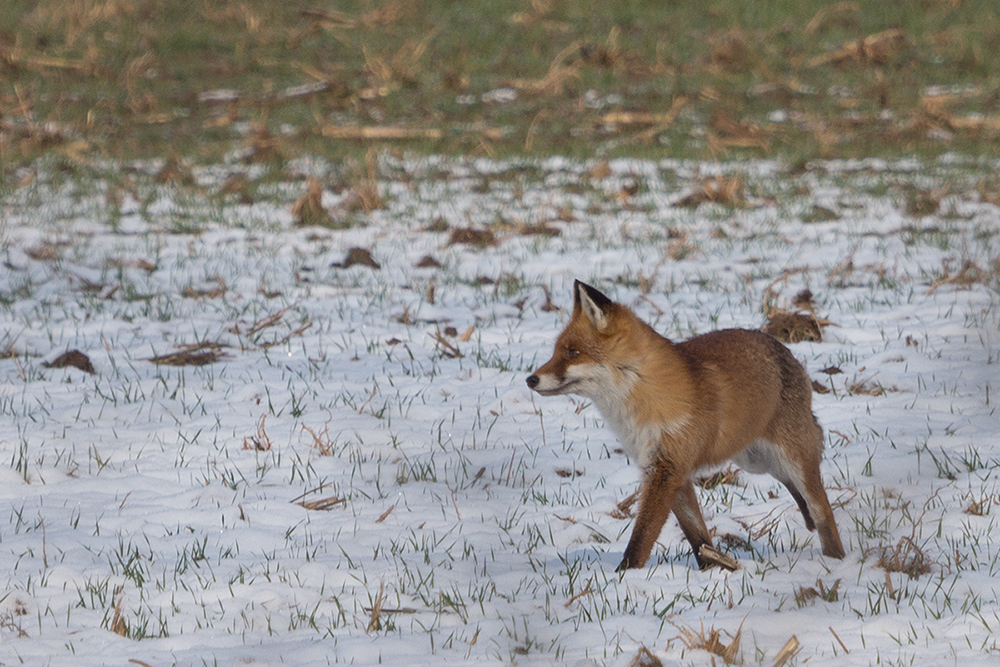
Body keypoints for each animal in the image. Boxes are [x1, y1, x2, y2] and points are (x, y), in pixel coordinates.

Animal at [524, 280, 844, 568]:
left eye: (572, 352)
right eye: (557, 351)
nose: (530, 379)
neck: (643, 398)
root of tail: (783, 348)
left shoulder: (668, 470)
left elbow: (641, 540)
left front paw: (623, 577)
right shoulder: (666, 471)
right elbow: (697, 536)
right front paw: (714, 569)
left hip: (789, 460)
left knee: (821, 508)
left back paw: (835, 559)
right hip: (758, 461)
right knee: (798, 492)